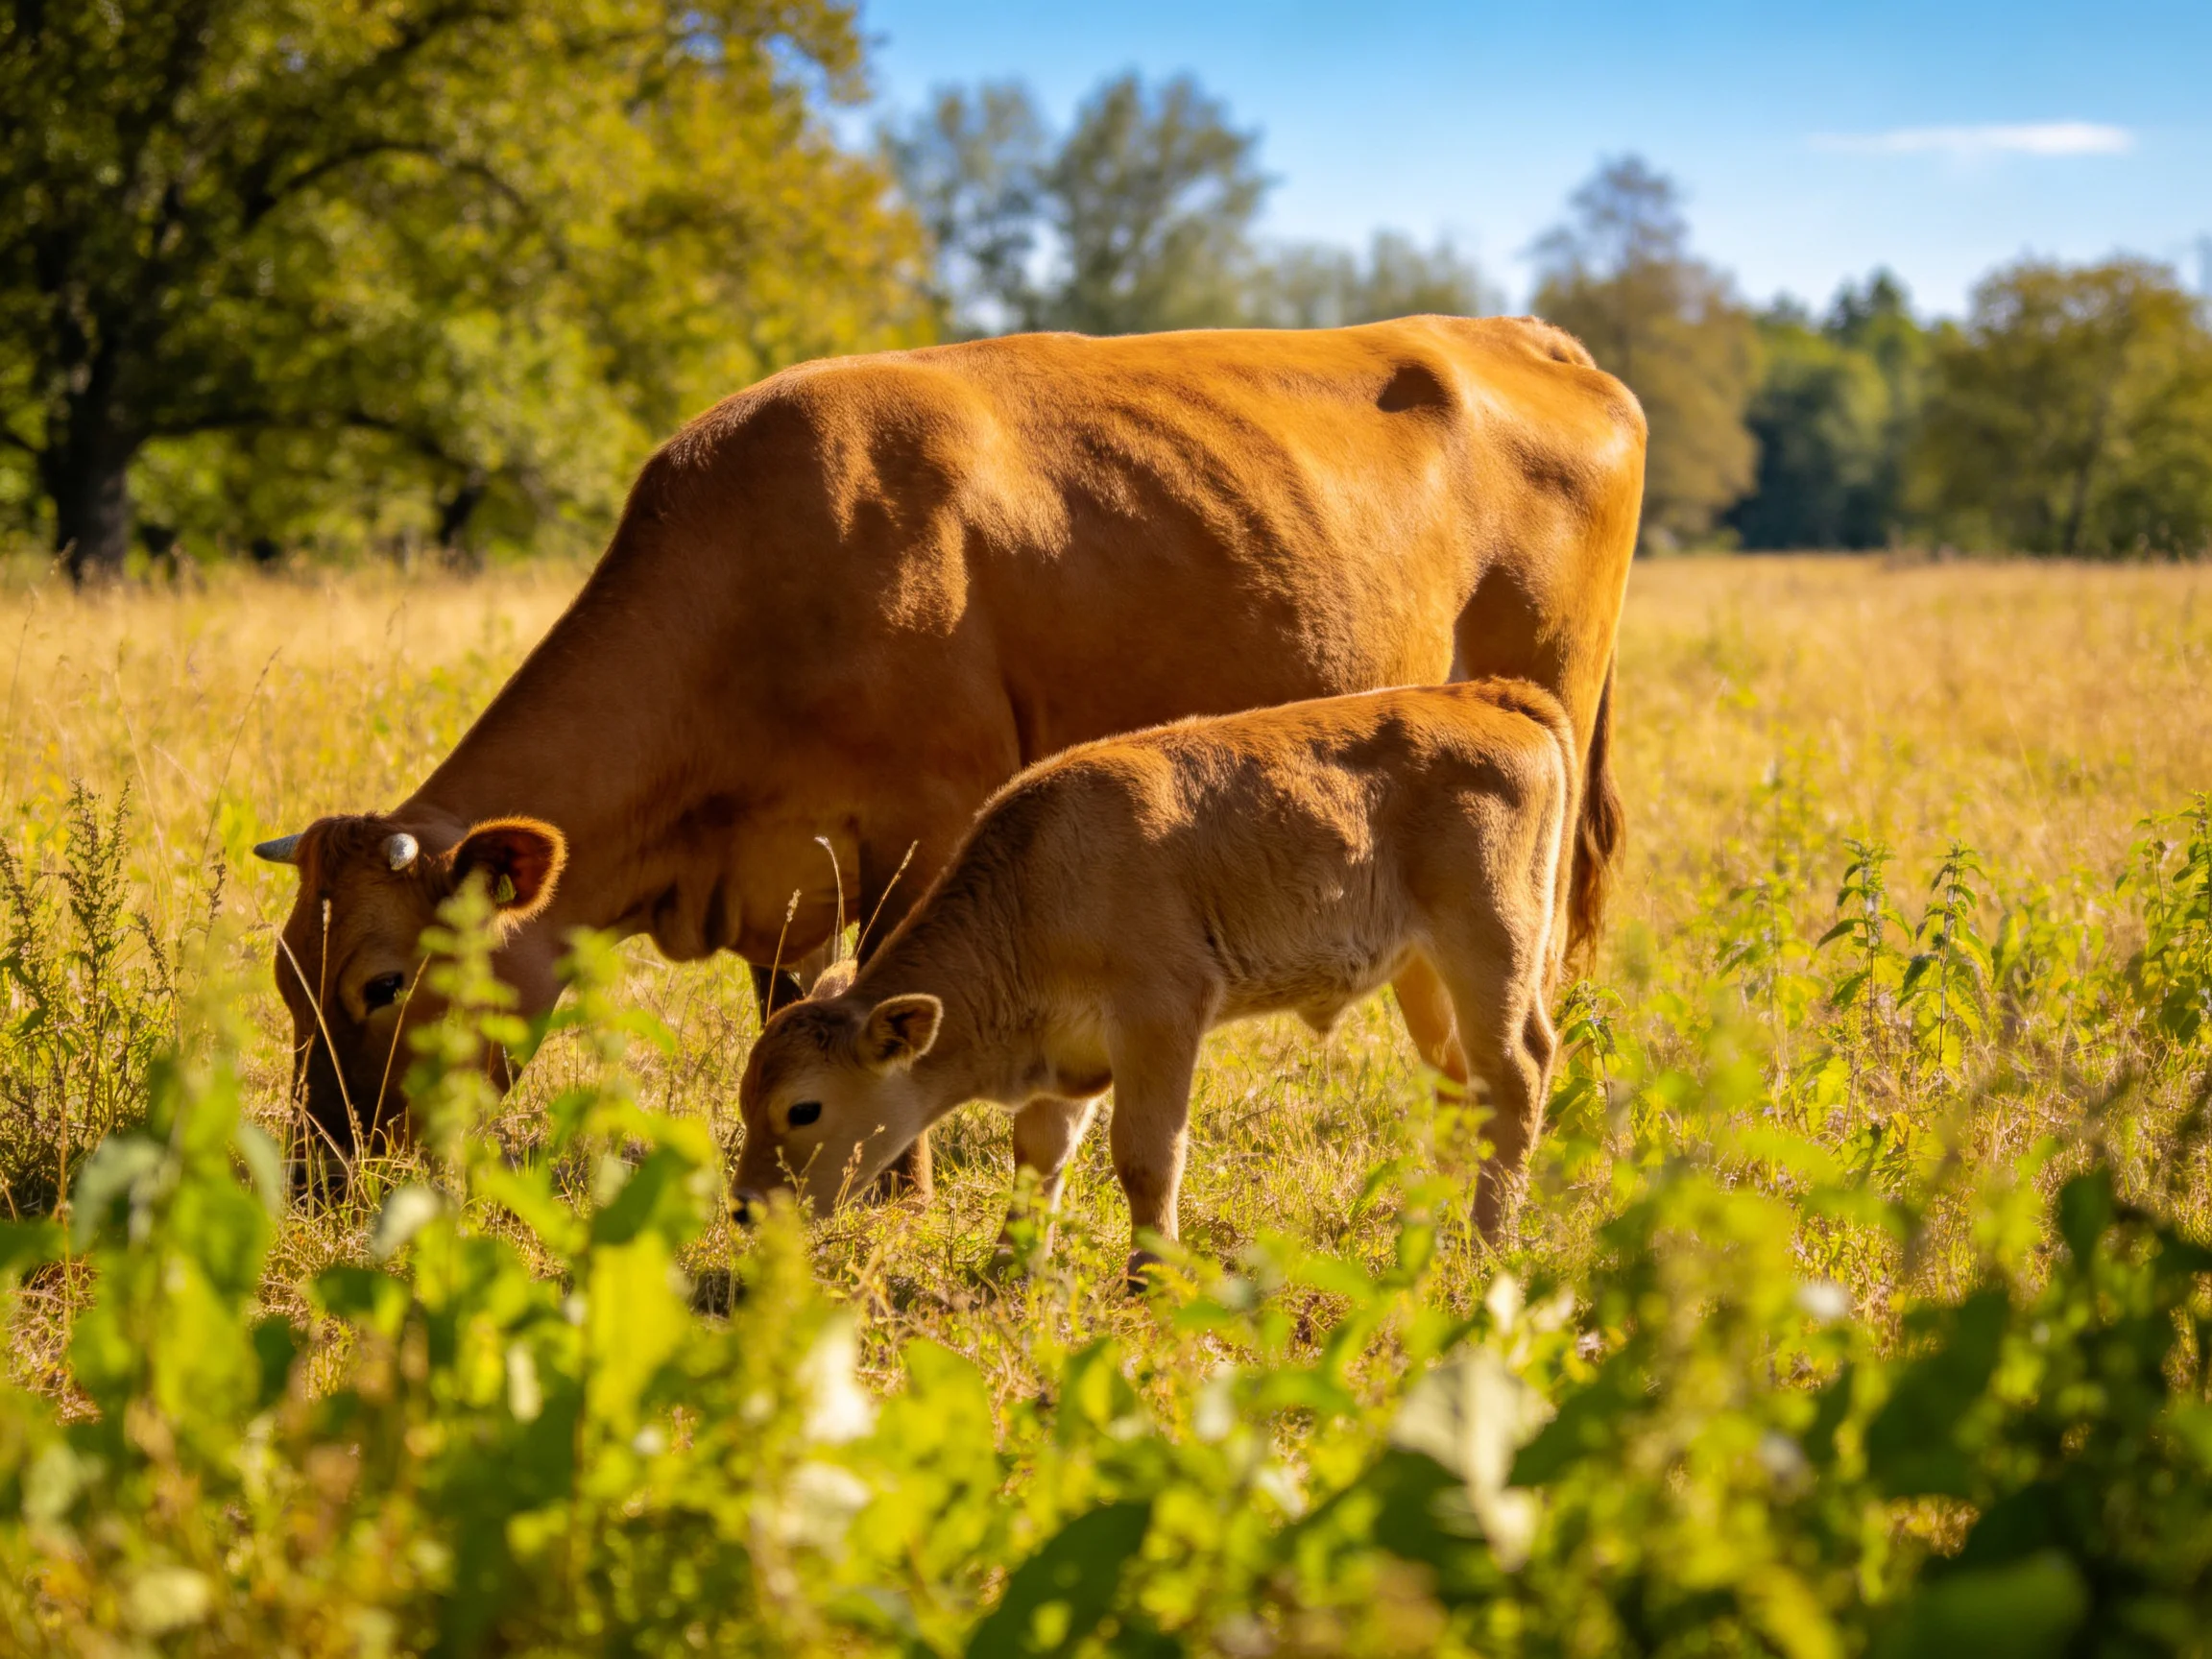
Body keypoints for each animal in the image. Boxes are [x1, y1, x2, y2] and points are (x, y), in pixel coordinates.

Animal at [256, 315, 1644, 1182]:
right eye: (284, 977)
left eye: (381, 981)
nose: (322, 1176)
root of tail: (1521, 334)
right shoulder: (785, 886)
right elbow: (800, 1012)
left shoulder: (928, 828)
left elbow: (892, 1011)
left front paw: (897, 1194)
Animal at [729, 679, 1578, 1273]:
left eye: (802, 1110)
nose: (742, 1209)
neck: (1036, 886)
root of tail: (1489, 695)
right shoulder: (1067, 1054)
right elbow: (1038, 1154)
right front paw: (1007, 1266)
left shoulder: (1160, 1017)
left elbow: (1146, 1156)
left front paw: (1149, 1276)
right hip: (1425, 970)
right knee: (1460, 1082)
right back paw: (1436, 1218)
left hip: (1489, 944)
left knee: (1515, 1073)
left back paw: (1485, 1239)